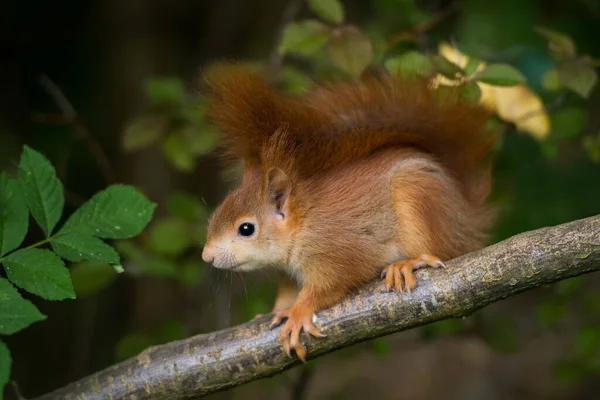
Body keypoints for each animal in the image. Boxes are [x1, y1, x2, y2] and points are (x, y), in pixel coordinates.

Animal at [199, 65, 494, 360]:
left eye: (246, 229)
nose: (207, 256)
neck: (303, 222)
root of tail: (465, 211)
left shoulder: (339, 250)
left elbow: (331, 283)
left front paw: (298, 312)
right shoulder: (288, 271)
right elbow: (287, 291)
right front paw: (275, 310)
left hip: (419, 197)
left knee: (443, 250)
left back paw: (408, 263)